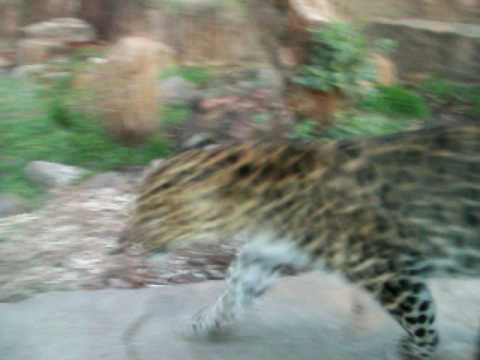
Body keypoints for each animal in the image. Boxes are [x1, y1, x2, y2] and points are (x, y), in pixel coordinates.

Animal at [118, 122, 480, 358]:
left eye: (150, 219)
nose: (124, 243)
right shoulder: (266, 253)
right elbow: (236, 291)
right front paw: (202, 322)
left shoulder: (384, 270)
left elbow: (418, 315)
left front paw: (420, 350)